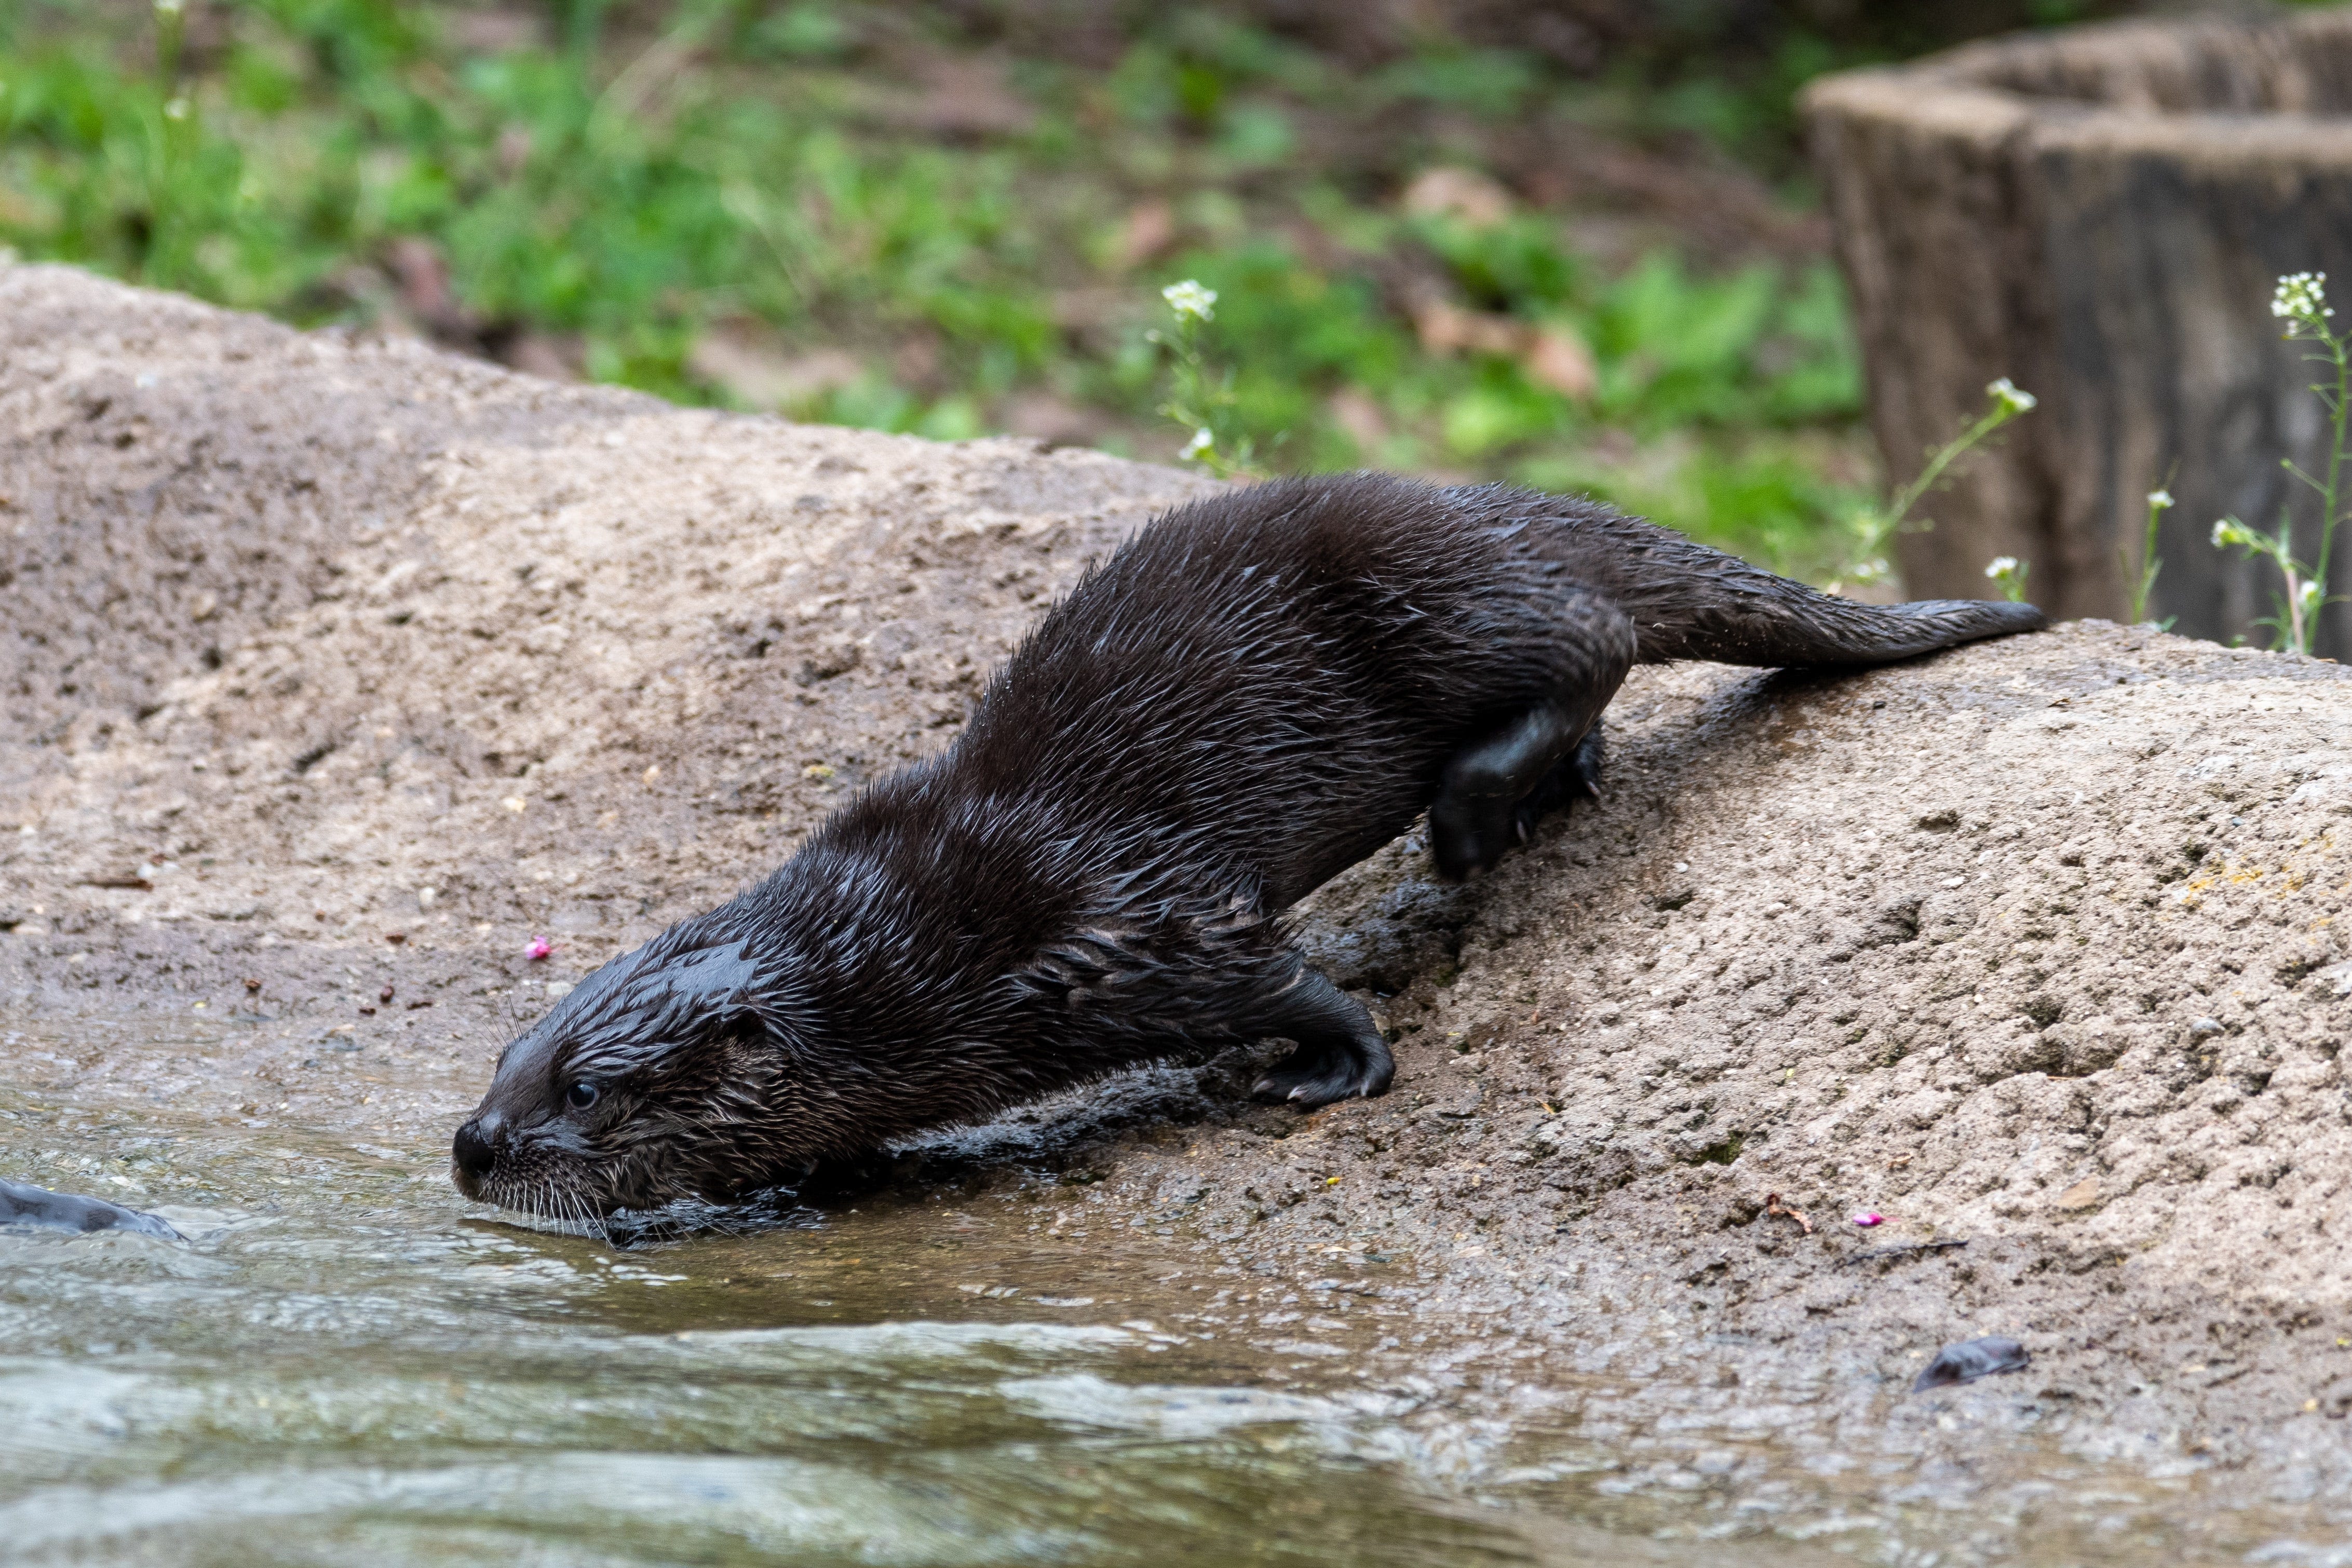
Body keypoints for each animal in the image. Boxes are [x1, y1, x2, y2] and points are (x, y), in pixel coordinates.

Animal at [449, 475, 2032, 1222]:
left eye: (585, 1092)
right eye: (509, 1056)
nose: (472, 1145)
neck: (906, 958)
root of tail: (1504, 507)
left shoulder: (1121, 937)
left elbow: (1282, 980)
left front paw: (1337, 1069)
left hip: (1437, 602)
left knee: (1594, 639)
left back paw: (1475, 816)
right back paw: (1551, 792)